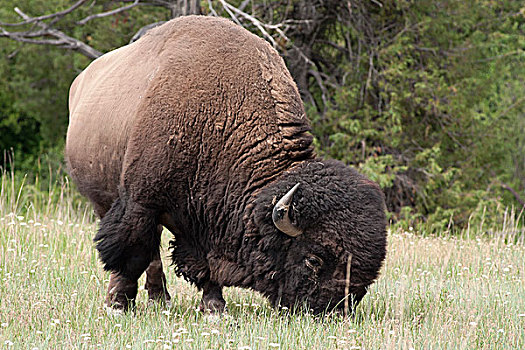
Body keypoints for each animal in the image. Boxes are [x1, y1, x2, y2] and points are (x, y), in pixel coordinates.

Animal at [64, 15, 384, 314]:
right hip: (104, 199)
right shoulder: (140, 202)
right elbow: (131, 254)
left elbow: (206, 265)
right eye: (314, 260)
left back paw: (160, 299)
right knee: (145, 251)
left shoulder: (207, 217)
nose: (331, 312)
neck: (223, 117)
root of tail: (81, 81)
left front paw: (214, 307)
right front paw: (117, 304)